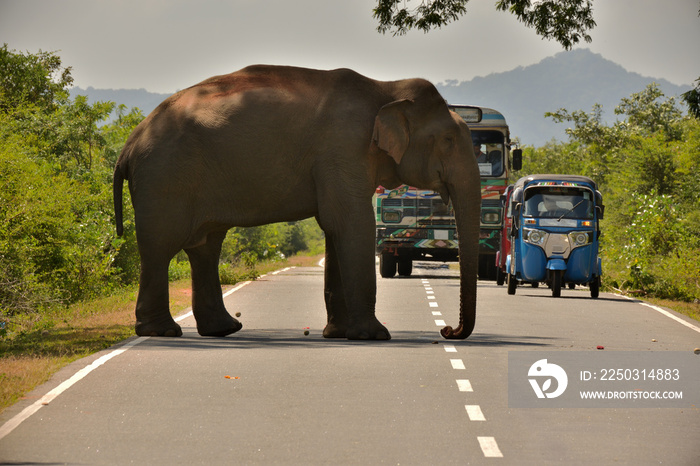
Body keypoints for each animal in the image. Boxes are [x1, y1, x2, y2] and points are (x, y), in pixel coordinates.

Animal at [113, 64, 482, 338]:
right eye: (448, 140)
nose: (447, 330)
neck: (387, 89)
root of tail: (129, 144)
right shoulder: (344, 147)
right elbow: (351, 222)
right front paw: (375, 335)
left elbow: (336, 227)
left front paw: (338, 334)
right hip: (164, 177)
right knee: (161, 246)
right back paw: (163, 331)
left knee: (205, 245)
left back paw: (224, 329)